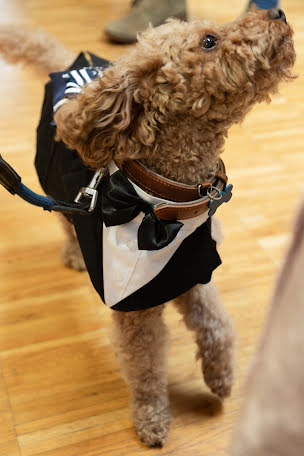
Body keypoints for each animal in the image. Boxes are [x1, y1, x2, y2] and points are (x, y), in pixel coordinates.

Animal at [0, 8, 296, 448]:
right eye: (208, 41)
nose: (277, 12)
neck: (166, 206)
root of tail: (73, 64)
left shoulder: (192, 271)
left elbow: (218, 326)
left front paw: (222, 378)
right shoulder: (134, 308)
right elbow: (145, 368)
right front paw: (152, 418)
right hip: (52, 182)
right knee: (66, 220)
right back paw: (73, 253)